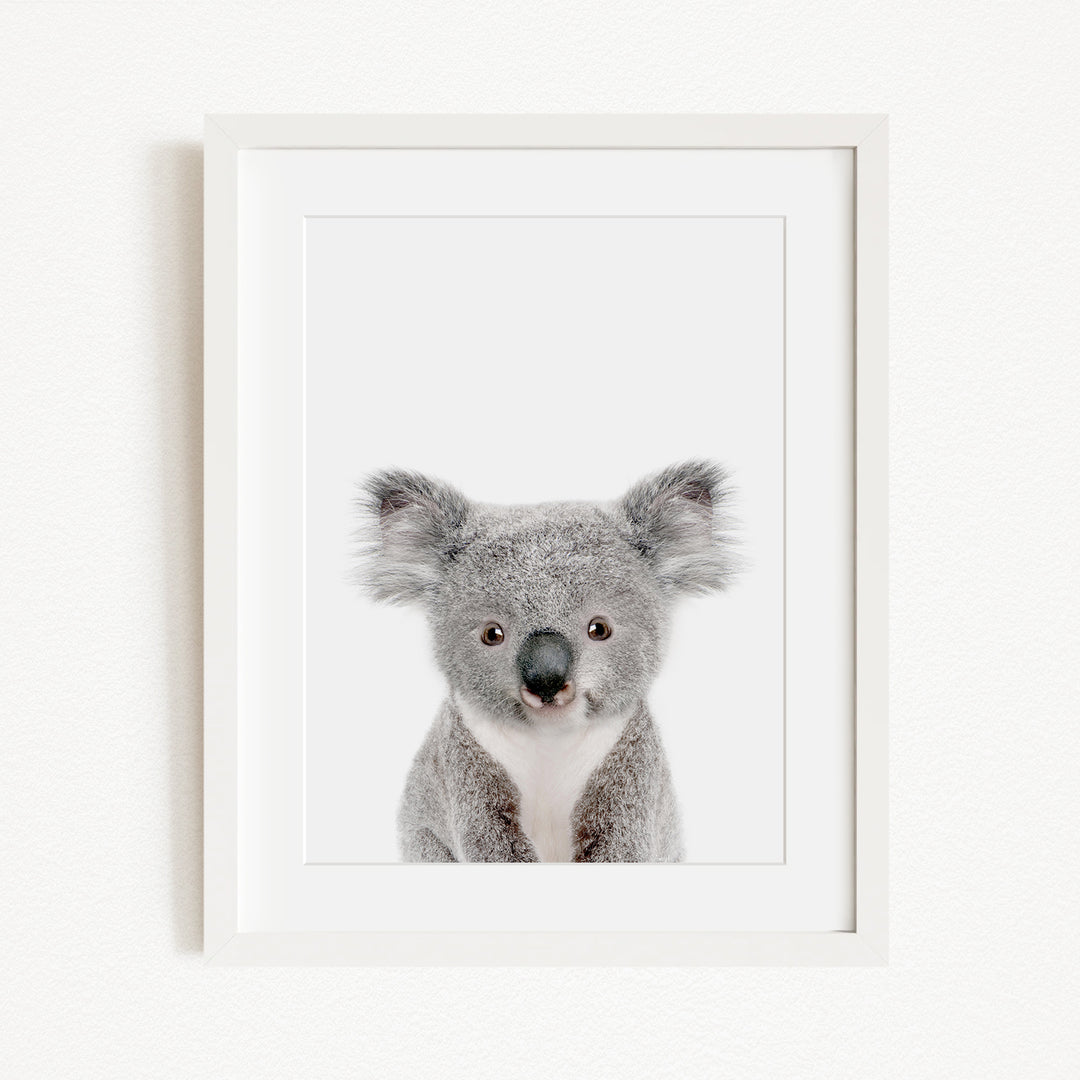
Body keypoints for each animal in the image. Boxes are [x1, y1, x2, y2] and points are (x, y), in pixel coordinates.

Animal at [357, 461, 736, 863]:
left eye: (599, 629)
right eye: (492, 634)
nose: (546, 680)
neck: (549, 739)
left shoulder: (631, 767)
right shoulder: (464, 766)